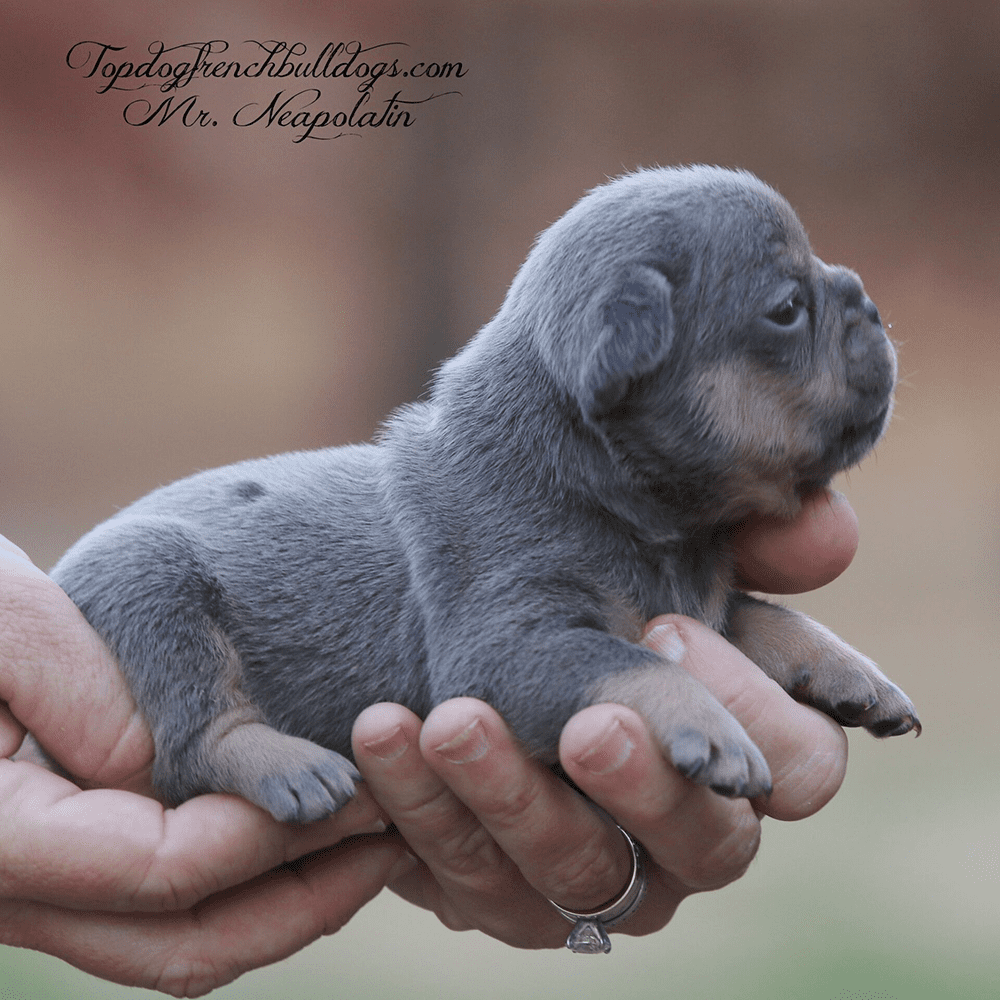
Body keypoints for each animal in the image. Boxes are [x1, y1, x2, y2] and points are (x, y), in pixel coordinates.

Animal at [50, 166, 916, 820]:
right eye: (787, 310)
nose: (871, 301)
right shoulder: (509, 642)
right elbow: (638, 662)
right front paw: (714, 725)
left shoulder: (698, 605)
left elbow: (763, 613)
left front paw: (846, 667)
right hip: (152, 582)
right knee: (194, 738)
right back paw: (282, 764)